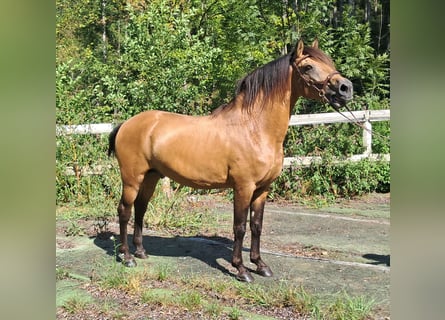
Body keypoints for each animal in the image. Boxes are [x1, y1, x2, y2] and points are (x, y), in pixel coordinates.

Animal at [108, 40, 354, 282]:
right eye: (308, 67)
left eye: (329, 62)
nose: (346, 88)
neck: (254, 128)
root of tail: (126, 124)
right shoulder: (243, 187)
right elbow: (240, 227)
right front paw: (242, 270)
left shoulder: (262, 189)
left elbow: (256, 225)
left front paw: (260, 265)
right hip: (132, 179)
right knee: (124, 211)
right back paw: (127, 257)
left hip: (151, 176)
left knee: (140, 208)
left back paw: (141, 252)